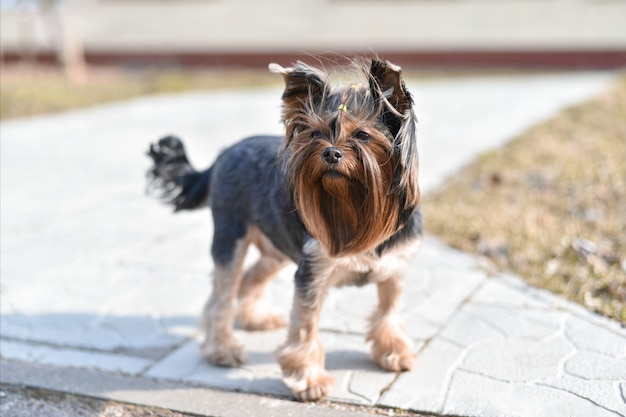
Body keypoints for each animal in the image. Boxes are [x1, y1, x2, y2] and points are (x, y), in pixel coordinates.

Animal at [146, 58, 420, 400]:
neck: (356, 204)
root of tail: (225, 152)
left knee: (250, 278)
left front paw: (395, 353)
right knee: (221, 294)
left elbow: (390, 311)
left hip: (275, 242)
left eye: (363, 135)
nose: (330, 152)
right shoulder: (313, 273)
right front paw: (310, 379)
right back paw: (222, 349)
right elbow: (305, 325)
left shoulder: (395, 268)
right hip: (231, 234)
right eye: (315, 134)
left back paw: (255, 319)